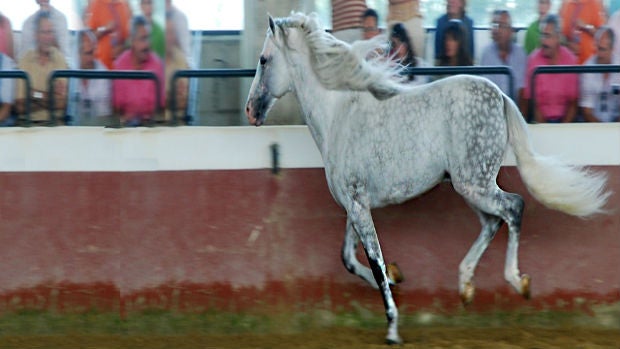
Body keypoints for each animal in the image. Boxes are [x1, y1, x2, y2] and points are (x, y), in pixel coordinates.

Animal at [243, 12, 612, 342]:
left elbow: (373, 262)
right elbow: (350, 259)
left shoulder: (359, 206)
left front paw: (392, 326)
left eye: (263, 60)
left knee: (514, 207)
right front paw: (397, 278)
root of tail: (501, 96)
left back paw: (517, 281)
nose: (250, 111)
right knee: (493, 222)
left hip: (474, 184)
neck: (338, 116)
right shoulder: (354, 204)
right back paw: (465, 286)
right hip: (469, 186)